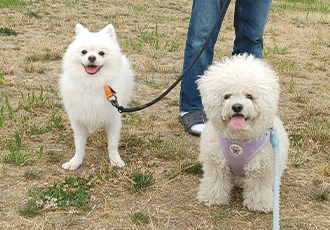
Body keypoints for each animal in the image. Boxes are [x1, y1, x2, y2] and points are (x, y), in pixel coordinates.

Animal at [59, 23, 134, 171]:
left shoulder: (113, 120)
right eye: (84, 52)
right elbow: (79, 146)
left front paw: (115, 160)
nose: (92, 58)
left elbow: (112, 144)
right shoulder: (78, 121)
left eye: (101, 53)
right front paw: (75, 162)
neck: (92, 84)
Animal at [196, 53, 288, 212]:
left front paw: (260, 204)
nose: (237, 106)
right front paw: (211, 197)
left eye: (249, 96)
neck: (239, 140)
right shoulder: (216, 162)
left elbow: (259, 187)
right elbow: (215, 181)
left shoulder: (262, 167)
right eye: (227, 96)